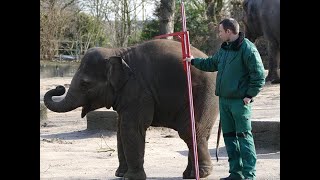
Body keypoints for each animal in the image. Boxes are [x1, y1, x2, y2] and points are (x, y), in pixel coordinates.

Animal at [43, 38, 220, 179]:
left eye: (84, 84)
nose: (59, 87)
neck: (117, 52)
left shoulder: (138, 91)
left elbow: (131, 128)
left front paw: (130, 177)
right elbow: (120, 130)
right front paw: (120, 174)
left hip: (204, 96)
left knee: (190, 131)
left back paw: (202, 174)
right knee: (196, 134)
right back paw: (189, 175)